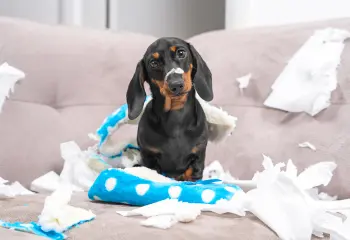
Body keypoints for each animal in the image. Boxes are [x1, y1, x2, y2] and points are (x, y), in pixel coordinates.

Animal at [126, 36, 212, 181]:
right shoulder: (149, 157)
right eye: (153, 63)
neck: (176, 118)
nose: (176, 85)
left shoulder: (198, 156)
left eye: (181, 53)